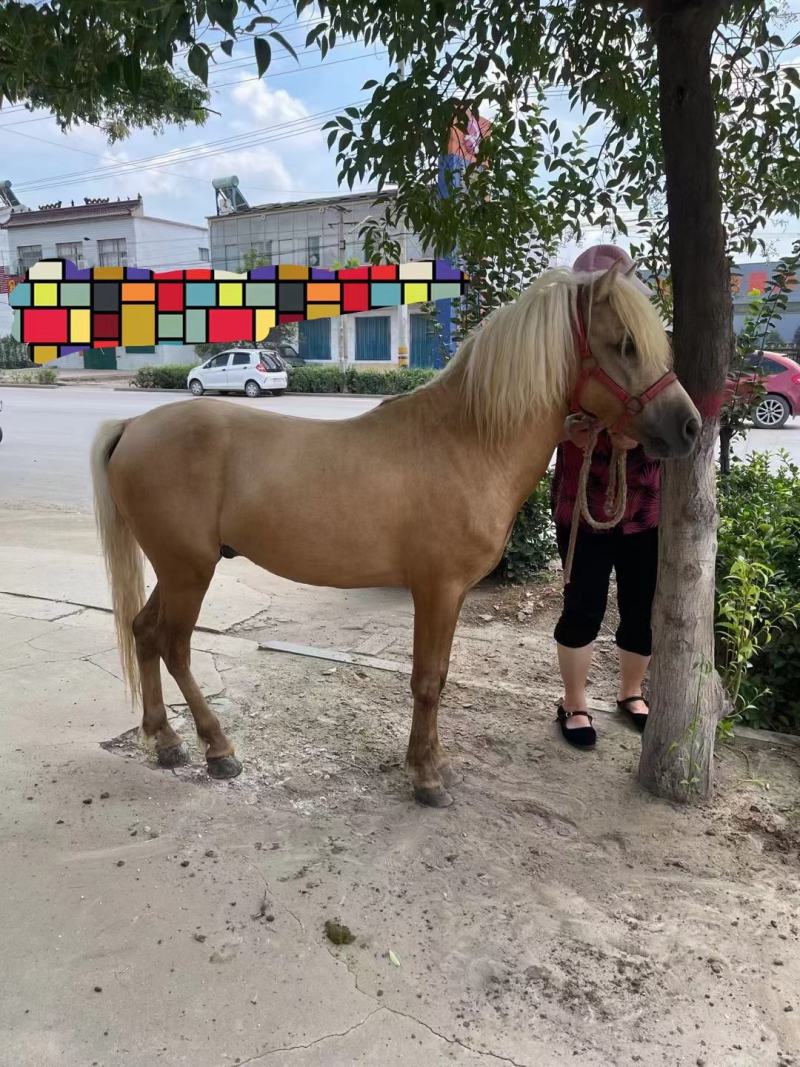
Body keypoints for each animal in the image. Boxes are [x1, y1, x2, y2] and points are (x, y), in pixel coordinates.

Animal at [90, 264, 700, 807]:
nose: (690, 426)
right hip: (189, 570)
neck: (467, 442)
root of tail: (133, 427)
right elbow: (427, 680)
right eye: (624, 344)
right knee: (173, 644)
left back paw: (165, 742)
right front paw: (427, 779)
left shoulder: (448, 596)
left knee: (144, 633)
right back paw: (218, 750)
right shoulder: (437, 590)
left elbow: (438, 676)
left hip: (176, 569)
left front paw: (428, 763)